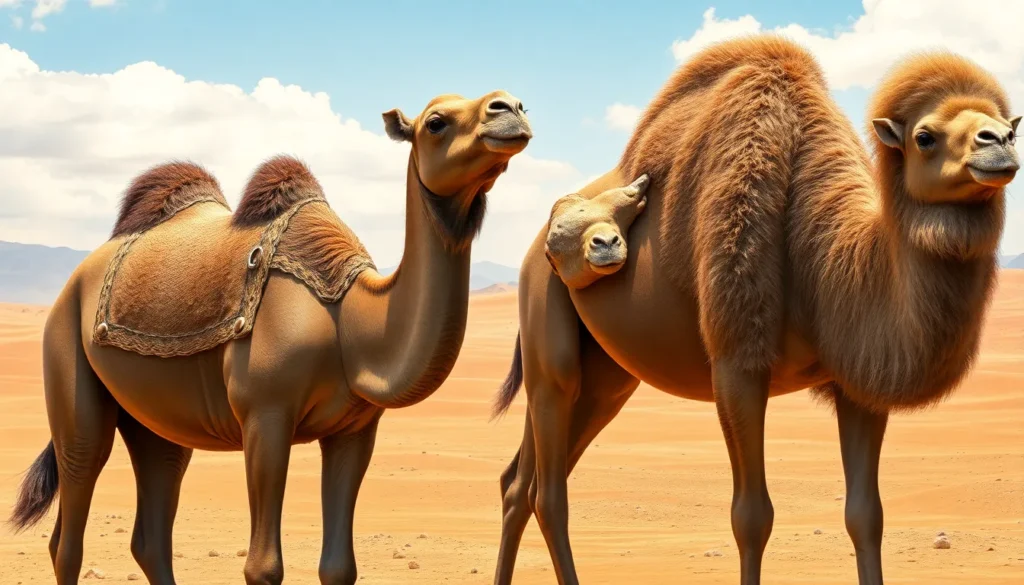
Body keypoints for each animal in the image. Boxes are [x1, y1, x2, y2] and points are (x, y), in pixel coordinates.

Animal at [9, 89, 533, 585]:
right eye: (435, 122)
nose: (511, 108)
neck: (349, 320)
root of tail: (77, 278)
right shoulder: (266, 414)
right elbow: (263, 566)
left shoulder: (355, 429)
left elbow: (339, 566)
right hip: (66, 358)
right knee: (71, 519)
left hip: (155, 420)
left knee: (151, 527)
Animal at [490, 36, 1019, 585]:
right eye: (924, 137)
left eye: (1008, 121)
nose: (999, 141)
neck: (822, 259)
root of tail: (536, 246)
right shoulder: (736, 360)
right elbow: (751, 516)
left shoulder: (860, 375)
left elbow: (866, 514)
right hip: (548, 330)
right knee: (549, 490)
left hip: (606, 379)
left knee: (521, 482)